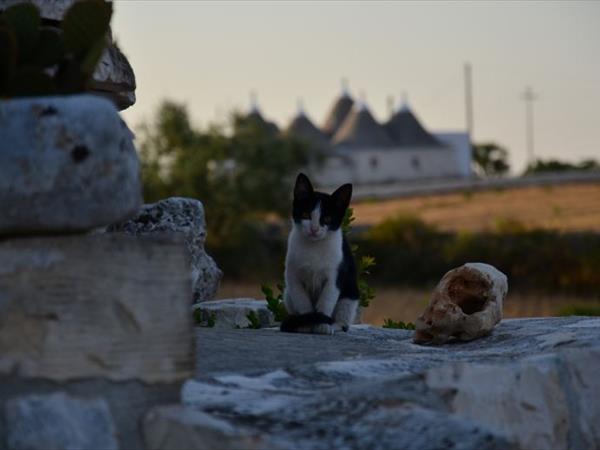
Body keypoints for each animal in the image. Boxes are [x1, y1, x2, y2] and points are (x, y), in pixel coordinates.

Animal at [280, 172, 358, 334]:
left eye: (327, 218)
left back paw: (335, 325)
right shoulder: (293, 277)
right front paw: (306, 323)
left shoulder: (334, 276)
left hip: (350, 294)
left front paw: (322, 325)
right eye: (305, 214)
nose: (314, 229)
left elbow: (326, 301)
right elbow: (303, 303)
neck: (314, 247)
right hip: (287, 294)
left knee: (344, 320)